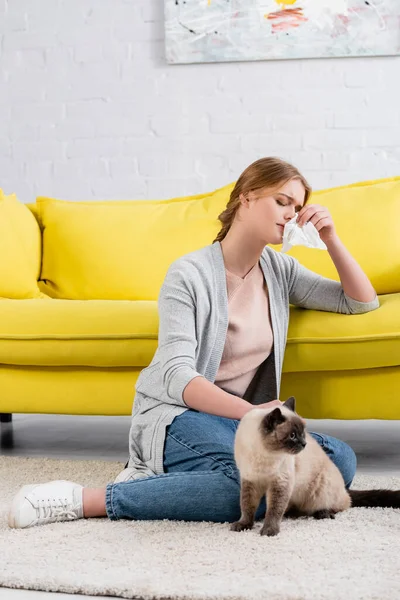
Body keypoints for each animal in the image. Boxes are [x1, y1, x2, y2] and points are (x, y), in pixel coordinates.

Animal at [231, 396, 400, 536]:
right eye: (292, 436)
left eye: (302, 434)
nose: (304, 444)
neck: (265, 455)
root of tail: (344, 489)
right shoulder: (250, 481)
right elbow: (247, 506)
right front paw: (244, 525)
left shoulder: (280, 483)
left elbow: (274, 510)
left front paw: (269, 530)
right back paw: (291, 514)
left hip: (321, 488)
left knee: (343, 504)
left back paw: (323, 514)